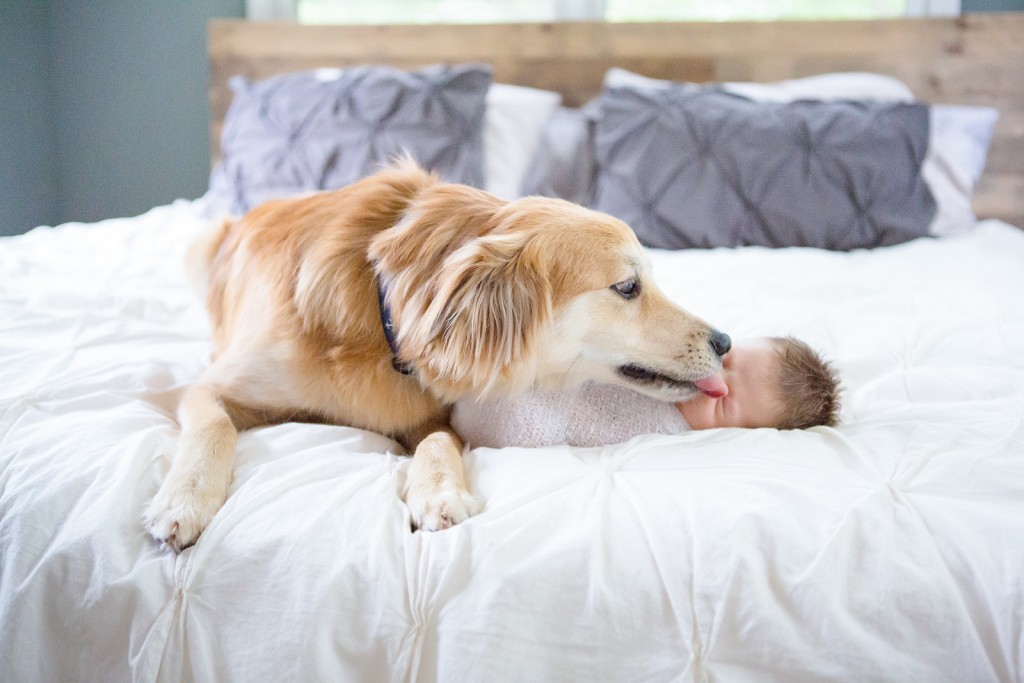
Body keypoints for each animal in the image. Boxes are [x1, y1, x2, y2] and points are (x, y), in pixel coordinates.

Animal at [144, 158, 733, 548]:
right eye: (628, 287)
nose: (725, 344)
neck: (381, 313)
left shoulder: (429, 415)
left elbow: (436, 442)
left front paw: (438, 493)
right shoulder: (206, 387)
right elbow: (214, 427)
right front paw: (183, 501)